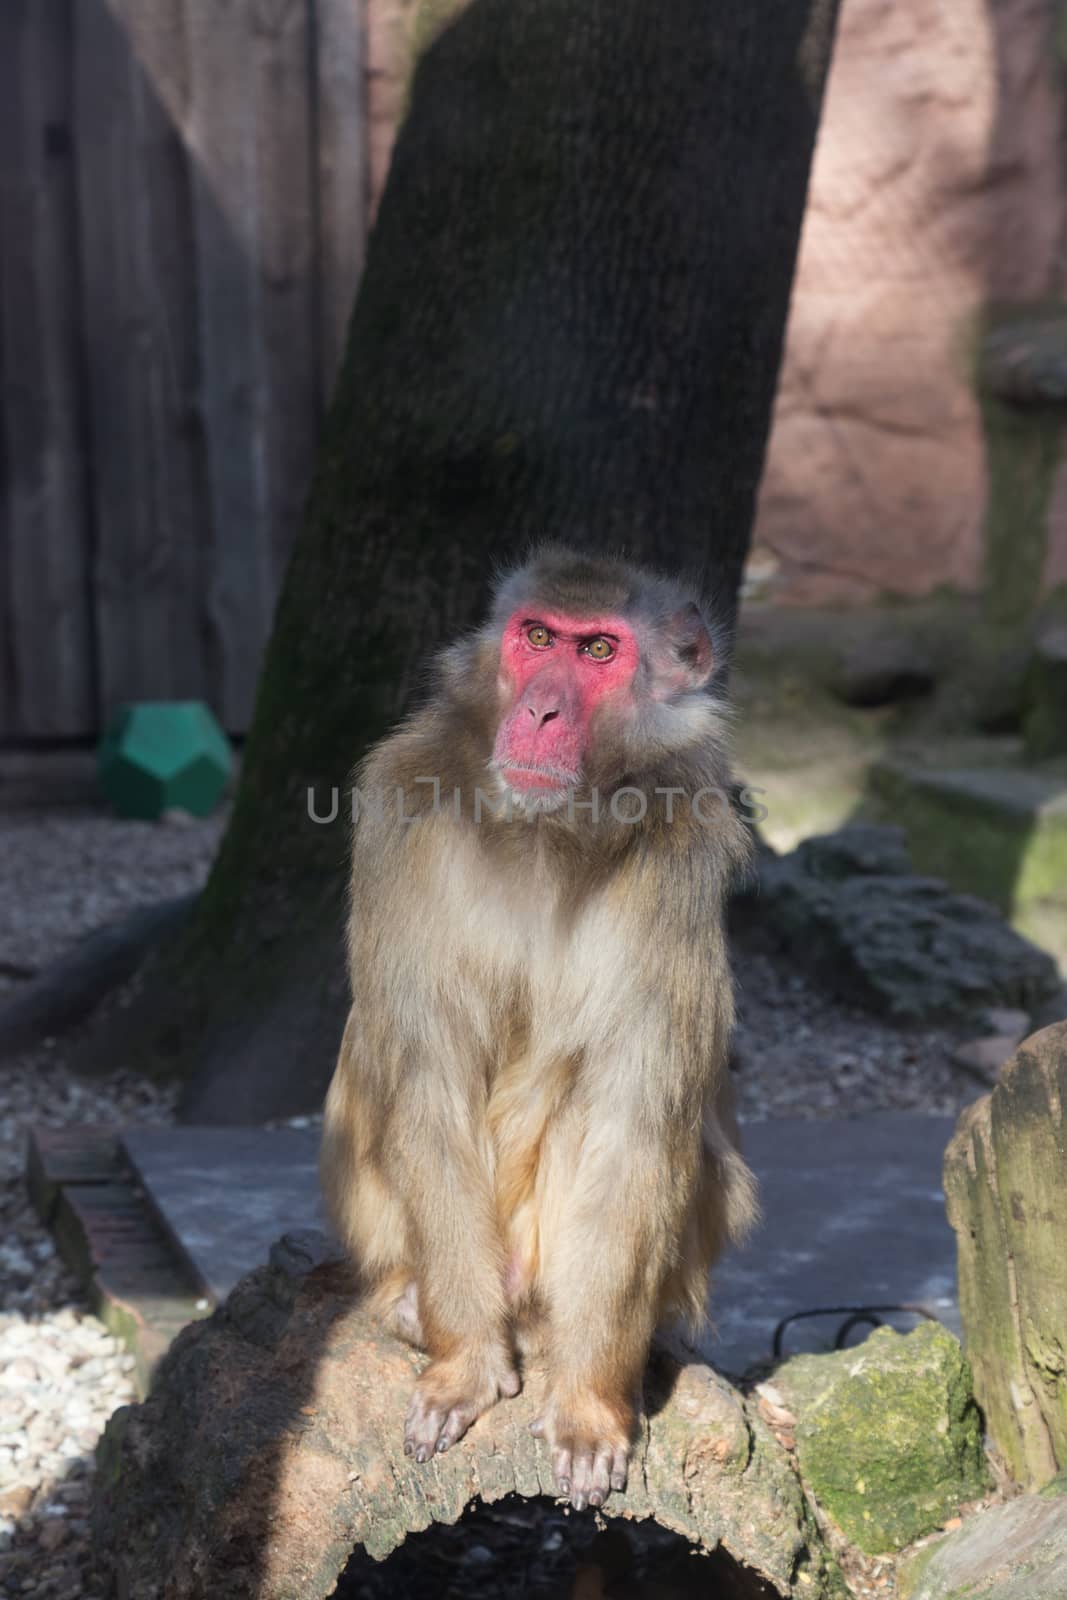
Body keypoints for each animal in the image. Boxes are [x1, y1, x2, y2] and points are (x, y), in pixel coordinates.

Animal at [321, 544, 755, 1504]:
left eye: (598, 650)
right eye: (537, 638)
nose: (540, 709)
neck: (548, 835)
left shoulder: (677, 863)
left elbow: (634, 1121)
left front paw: (588, 1405)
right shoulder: (402, 817)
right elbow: (427, 1083)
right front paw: (465, 1368)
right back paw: (420, 1309)